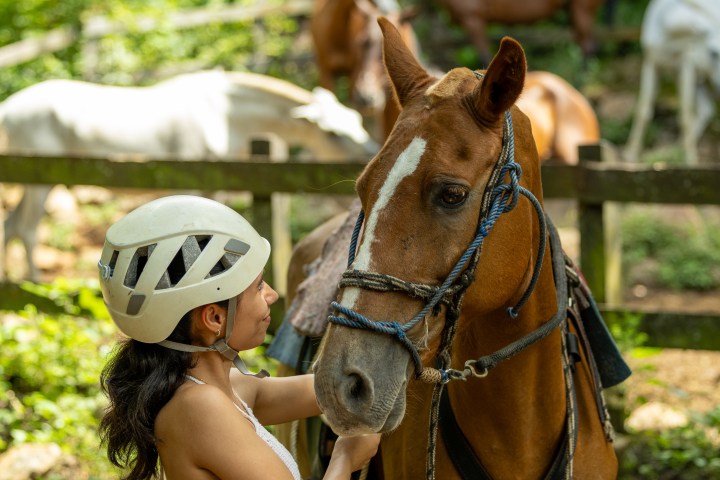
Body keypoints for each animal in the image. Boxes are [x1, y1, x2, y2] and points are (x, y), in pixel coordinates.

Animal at [0, 70, 378, 281]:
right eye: (332, 133)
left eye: (356, 120)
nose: (371, 151)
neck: (224, 115)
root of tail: (8, 109)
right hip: (39, 181)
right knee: (27, 228)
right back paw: (34, 283)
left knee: (11, 225)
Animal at [624, 0, 720, 165]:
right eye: (713, 52)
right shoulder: (651, 64)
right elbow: (643, 110)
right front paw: (631, 155)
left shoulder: (687, 66)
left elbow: (685, 116)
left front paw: (690, 159)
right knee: (706, 109)